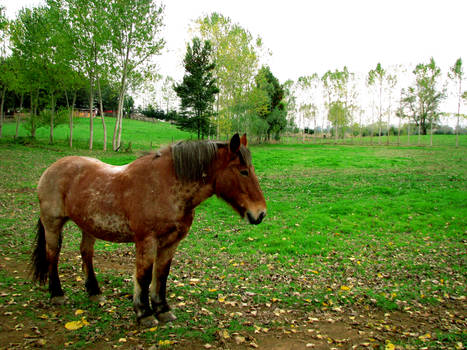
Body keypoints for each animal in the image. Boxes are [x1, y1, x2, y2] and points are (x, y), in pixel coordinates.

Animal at [30, 133, 266, 326]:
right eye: (244, 171)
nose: (260, 213)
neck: (165, 186)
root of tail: (52, 169)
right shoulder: (147, 240)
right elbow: (143, 276)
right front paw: (144, 313)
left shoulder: (171, 242)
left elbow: (161, 275)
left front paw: (162, 309)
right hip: (52, 224)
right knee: (53, 255)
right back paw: (57, 294)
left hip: (88, 225)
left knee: (86, 253)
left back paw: (94, 292)